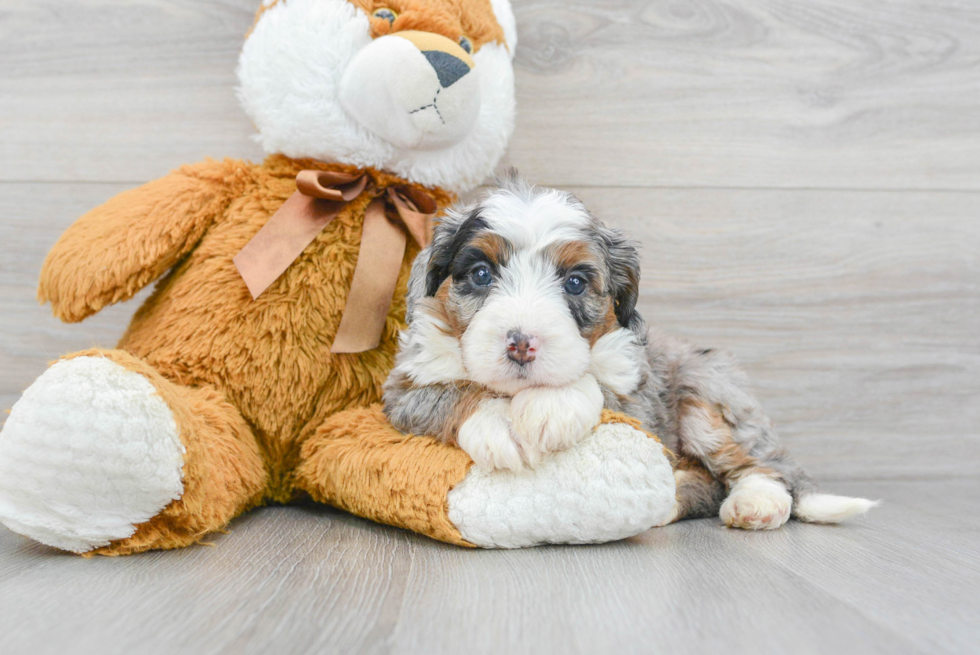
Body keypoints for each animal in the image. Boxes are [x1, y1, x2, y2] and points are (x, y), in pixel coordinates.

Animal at [380, 173, 872, 528]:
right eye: (481, 273)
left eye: (575, 282)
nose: (521, 343)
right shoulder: (403, 388)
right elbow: (447, 392)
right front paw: (500, 424)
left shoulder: (639, 399)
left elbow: (593, 384)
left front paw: (550, 407)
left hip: (707, 396)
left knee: (761, 464)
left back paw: (756, 503)